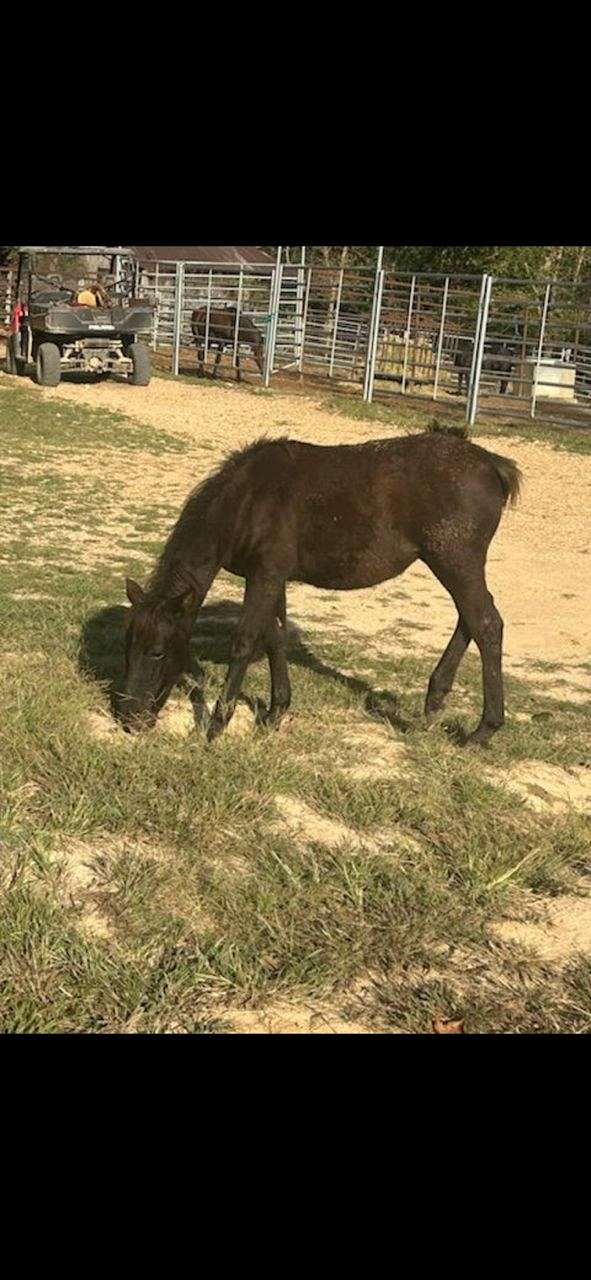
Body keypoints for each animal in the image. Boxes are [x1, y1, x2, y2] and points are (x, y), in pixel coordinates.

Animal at [117, 430, 521, 748]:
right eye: (128, 646)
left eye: (157, 652)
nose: (129, 719)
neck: (247, 500)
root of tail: (490, 463)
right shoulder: (270, 578)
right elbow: (275, 636)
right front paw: (276, 711)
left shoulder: (264, 577)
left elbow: (244, 641)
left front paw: (217, 725)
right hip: (454, 566)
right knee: (469, 620)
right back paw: (435, 701)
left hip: (455, 562)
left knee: (486, 624)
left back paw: (483, 730)